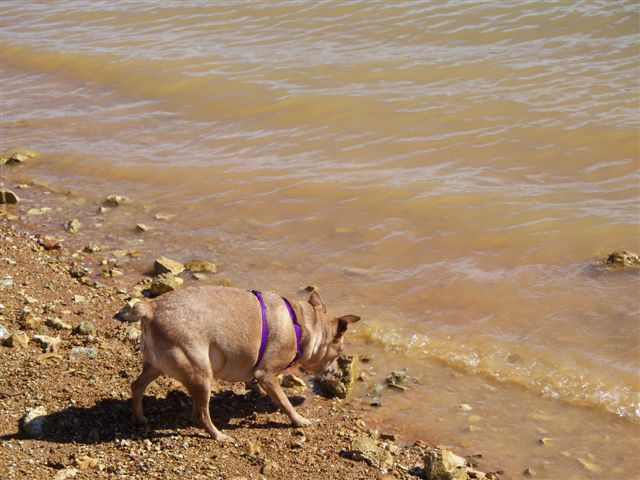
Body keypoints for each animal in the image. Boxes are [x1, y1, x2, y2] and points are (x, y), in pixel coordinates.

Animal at [130, 284, 360, 442]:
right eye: (339, 353)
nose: (337, 372)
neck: (303, 327)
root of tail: (151, 308)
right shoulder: (267, 375)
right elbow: (284, 402)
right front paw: (298, 420)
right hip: (201, 375)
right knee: (201, 414)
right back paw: (220, 436)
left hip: (155, 366)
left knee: (136, 386)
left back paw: (140, 418)